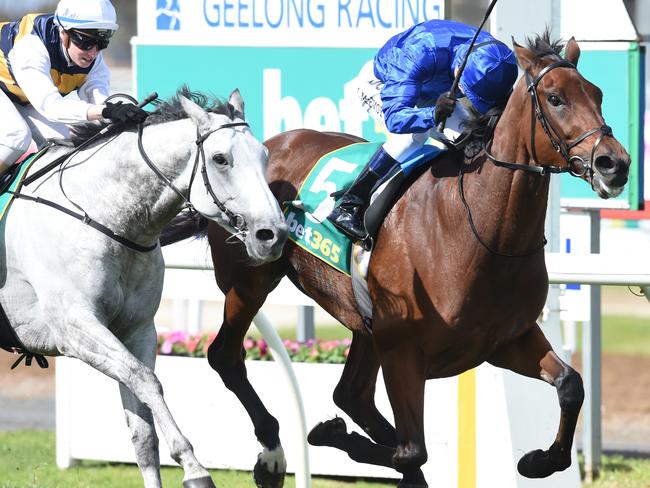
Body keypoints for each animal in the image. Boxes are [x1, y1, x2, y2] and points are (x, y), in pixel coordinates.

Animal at [0, 87, 284, 488]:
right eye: (220, 159)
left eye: (264, 155)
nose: (273, 234)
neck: (105, 216)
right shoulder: (74, 328)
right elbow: (145, 380)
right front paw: (195, 468)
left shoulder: (136, 329)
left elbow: (143, 432)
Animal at [161, 35, 628, 488]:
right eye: (555, 98)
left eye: (597, 94)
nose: (615, 163)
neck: (481, 233)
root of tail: (271, 144)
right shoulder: (404, 350)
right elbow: (412, 451)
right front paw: (332, 436)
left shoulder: (506, 340)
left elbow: (571, 385)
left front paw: (537, 460)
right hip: (252, 281)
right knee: (226, 356)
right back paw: (273, 454)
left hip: (364, 321)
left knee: (351, 395)